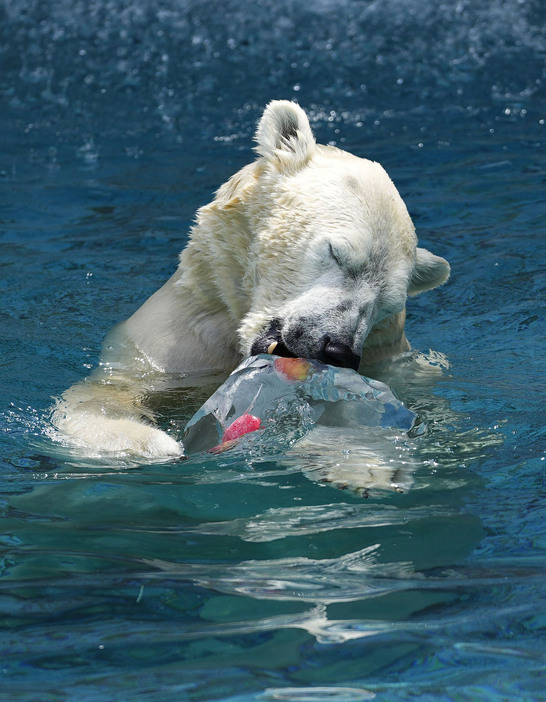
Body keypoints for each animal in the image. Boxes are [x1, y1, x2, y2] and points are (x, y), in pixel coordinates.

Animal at [51, 102, 448, 460]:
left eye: (388, 302)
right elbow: (99, 395)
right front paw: (156, 444)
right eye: (337, 252)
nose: (337, 350)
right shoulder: (169, 349)